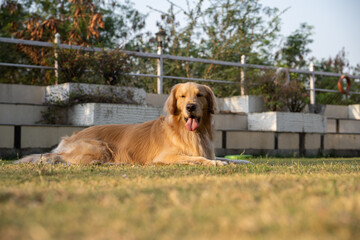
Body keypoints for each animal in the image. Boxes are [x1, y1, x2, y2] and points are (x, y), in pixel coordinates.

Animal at [17, 82, 225, 165]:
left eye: (199, 95)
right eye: (182, 96)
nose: (190, 106)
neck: (189, 132)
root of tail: (70, 137)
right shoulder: (166, 156)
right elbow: (198, 159)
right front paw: (216, 164)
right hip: (100, 147)